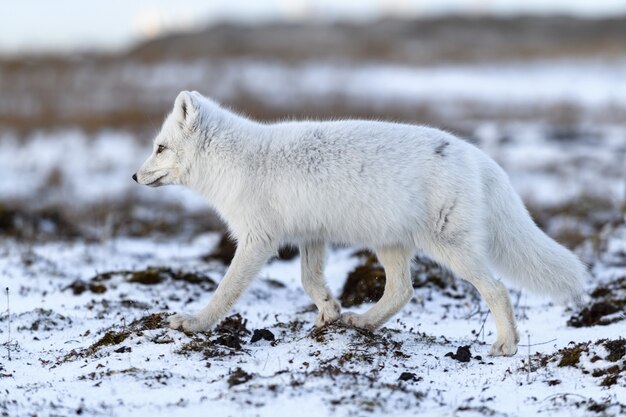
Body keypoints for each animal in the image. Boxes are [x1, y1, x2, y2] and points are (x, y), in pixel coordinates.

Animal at [132, 91, 584, 354]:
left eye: (160, 148)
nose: (135, 177)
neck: (233, 161)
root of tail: (477, 155)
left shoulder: (259, 240)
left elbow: (225, 292)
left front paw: (194, 323)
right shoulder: (312, 235)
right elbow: (310, 281)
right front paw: (329, 313)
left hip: (449, 247)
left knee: (496, 289)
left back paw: (506, 345)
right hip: (391, 244)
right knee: (403, 291)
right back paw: (363, 322)